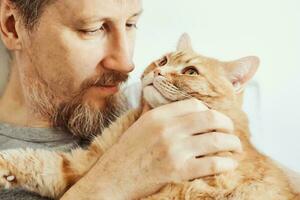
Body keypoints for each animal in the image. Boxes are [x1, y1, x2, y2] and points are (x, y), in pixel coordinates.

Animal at [0, 33, 296, 199]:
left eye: (190, 72)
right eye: (163, 60)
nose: (158, 72)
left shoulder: (196, 191)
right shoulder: (82, 164)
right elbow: (39, 161)